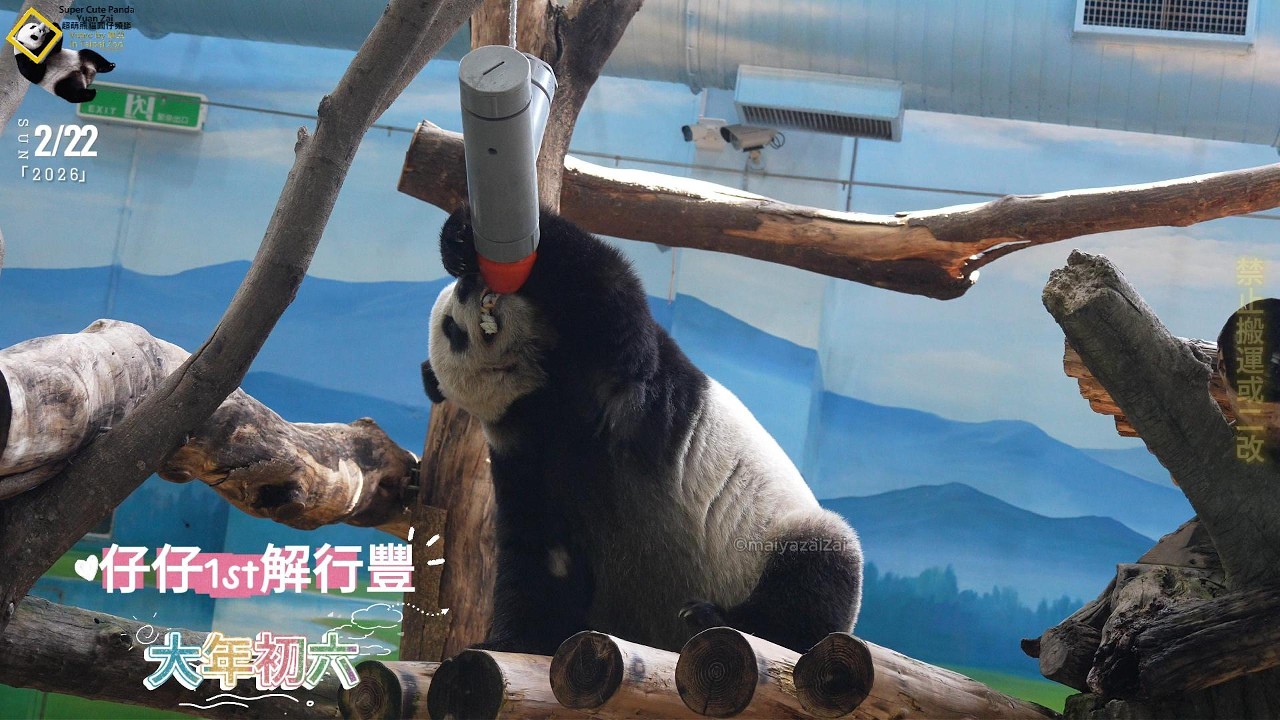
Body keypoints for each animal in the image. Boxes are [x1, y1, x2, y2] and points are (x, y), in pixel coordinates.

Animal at [422, 207, 863, 655]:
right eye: (450, 329)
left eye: (451, 317)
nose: (468, 286)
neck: (541, 393)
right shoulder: (526, 459)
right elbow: (540, 556)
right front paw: (505, 641)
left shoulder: (618, 381)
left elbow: (605, 290)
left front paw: (460, 238)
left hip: (767, 541)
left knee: (818, 564)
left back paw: (718, 618)